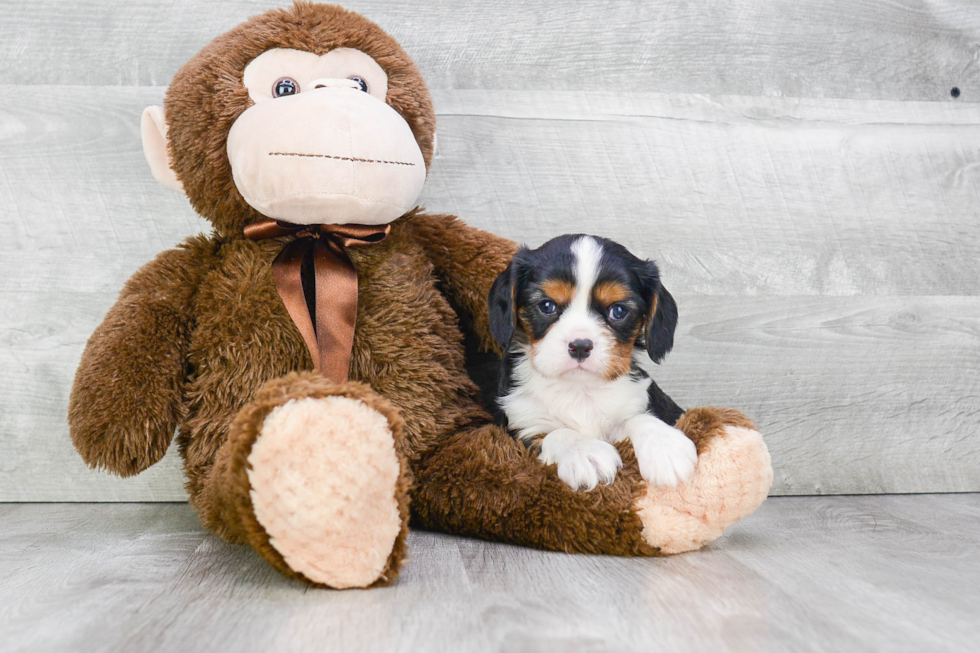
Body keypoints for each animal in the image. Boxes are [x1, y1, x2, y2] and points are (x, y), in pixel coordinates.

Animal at [486, 234, 692, 488]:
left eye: (618, 310)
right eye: (547, 306)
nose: (580, 346)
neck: (580, 389)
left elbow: (639, 418)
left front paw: (664, 445)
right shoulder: (520, 427)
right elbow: (554, 432)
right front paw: (584, 452)